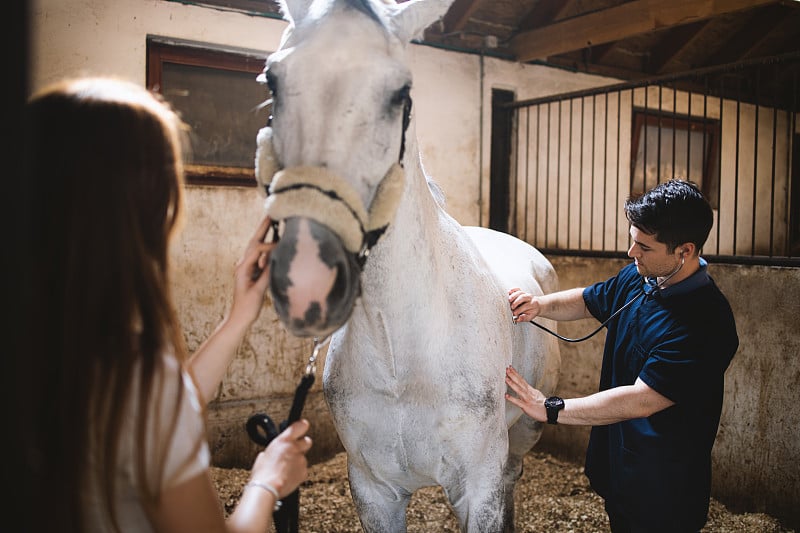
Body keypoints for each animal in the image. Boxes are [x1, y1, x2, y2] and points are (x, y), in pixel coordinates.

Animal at [256, 2, 564, 528]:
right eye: (272, 80)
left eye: (402, 92)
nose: (308, 275)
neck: (400, 354)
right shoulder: (374, 492)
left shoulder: (478, 489)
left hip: (522, 437)